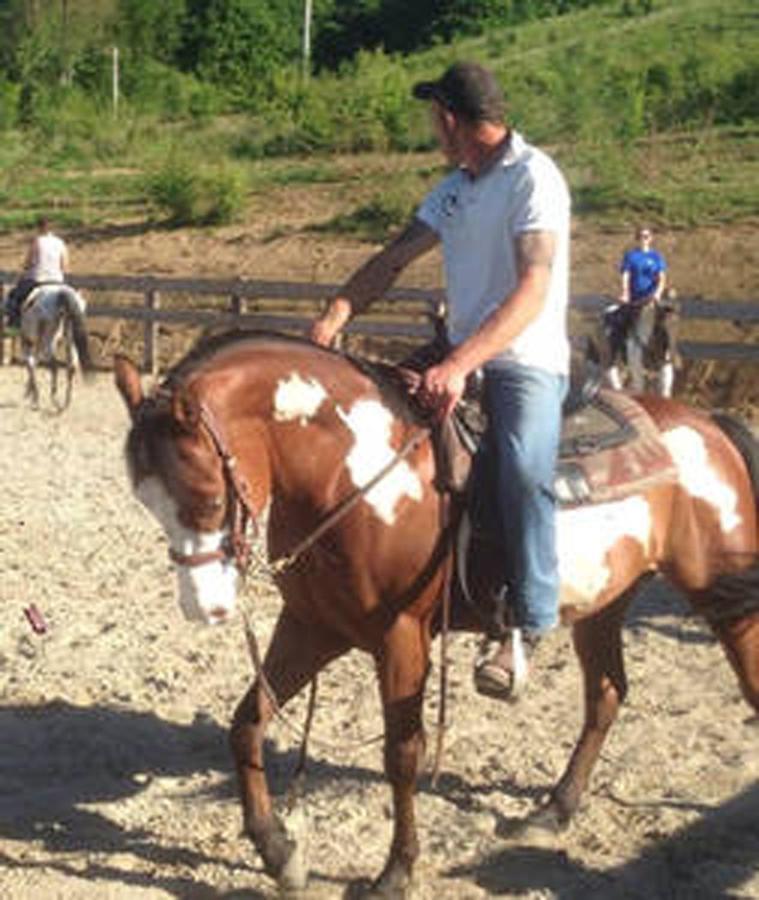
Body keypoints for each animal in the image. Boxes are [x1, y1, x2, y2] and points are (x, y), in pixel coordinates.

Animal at [114, 332, 759, 900]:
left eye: (208, 499)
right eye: (144, 501)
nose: (206, 606)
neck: (351, 473)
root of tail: (709, 425)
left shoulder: (401, 636)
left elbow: (403, 754)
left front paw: (396, 872)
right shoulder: (311, 625)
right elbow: (246, 722)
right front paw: (278, 852)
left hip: (724, 601)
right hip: (605, 604)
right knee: (605, 695)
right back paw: (553, 810)